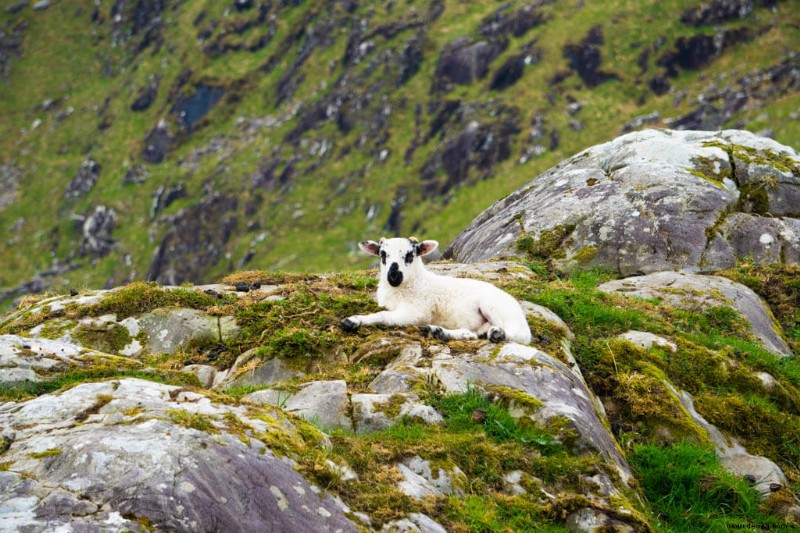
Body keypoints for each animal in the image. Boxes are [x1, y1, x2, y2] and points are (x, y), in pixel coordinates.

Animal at [340, 235, 532, 342]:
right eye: (382, 254)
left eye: (411, 254)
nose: (394, 276)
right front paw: (353, 321)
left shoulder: (417, 312)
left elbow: (383, 315)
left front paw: (355, 320)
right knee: (470, 334)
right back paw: (438, 332)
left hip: (496, 308)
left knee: (520, 335)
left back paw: (498, 334)